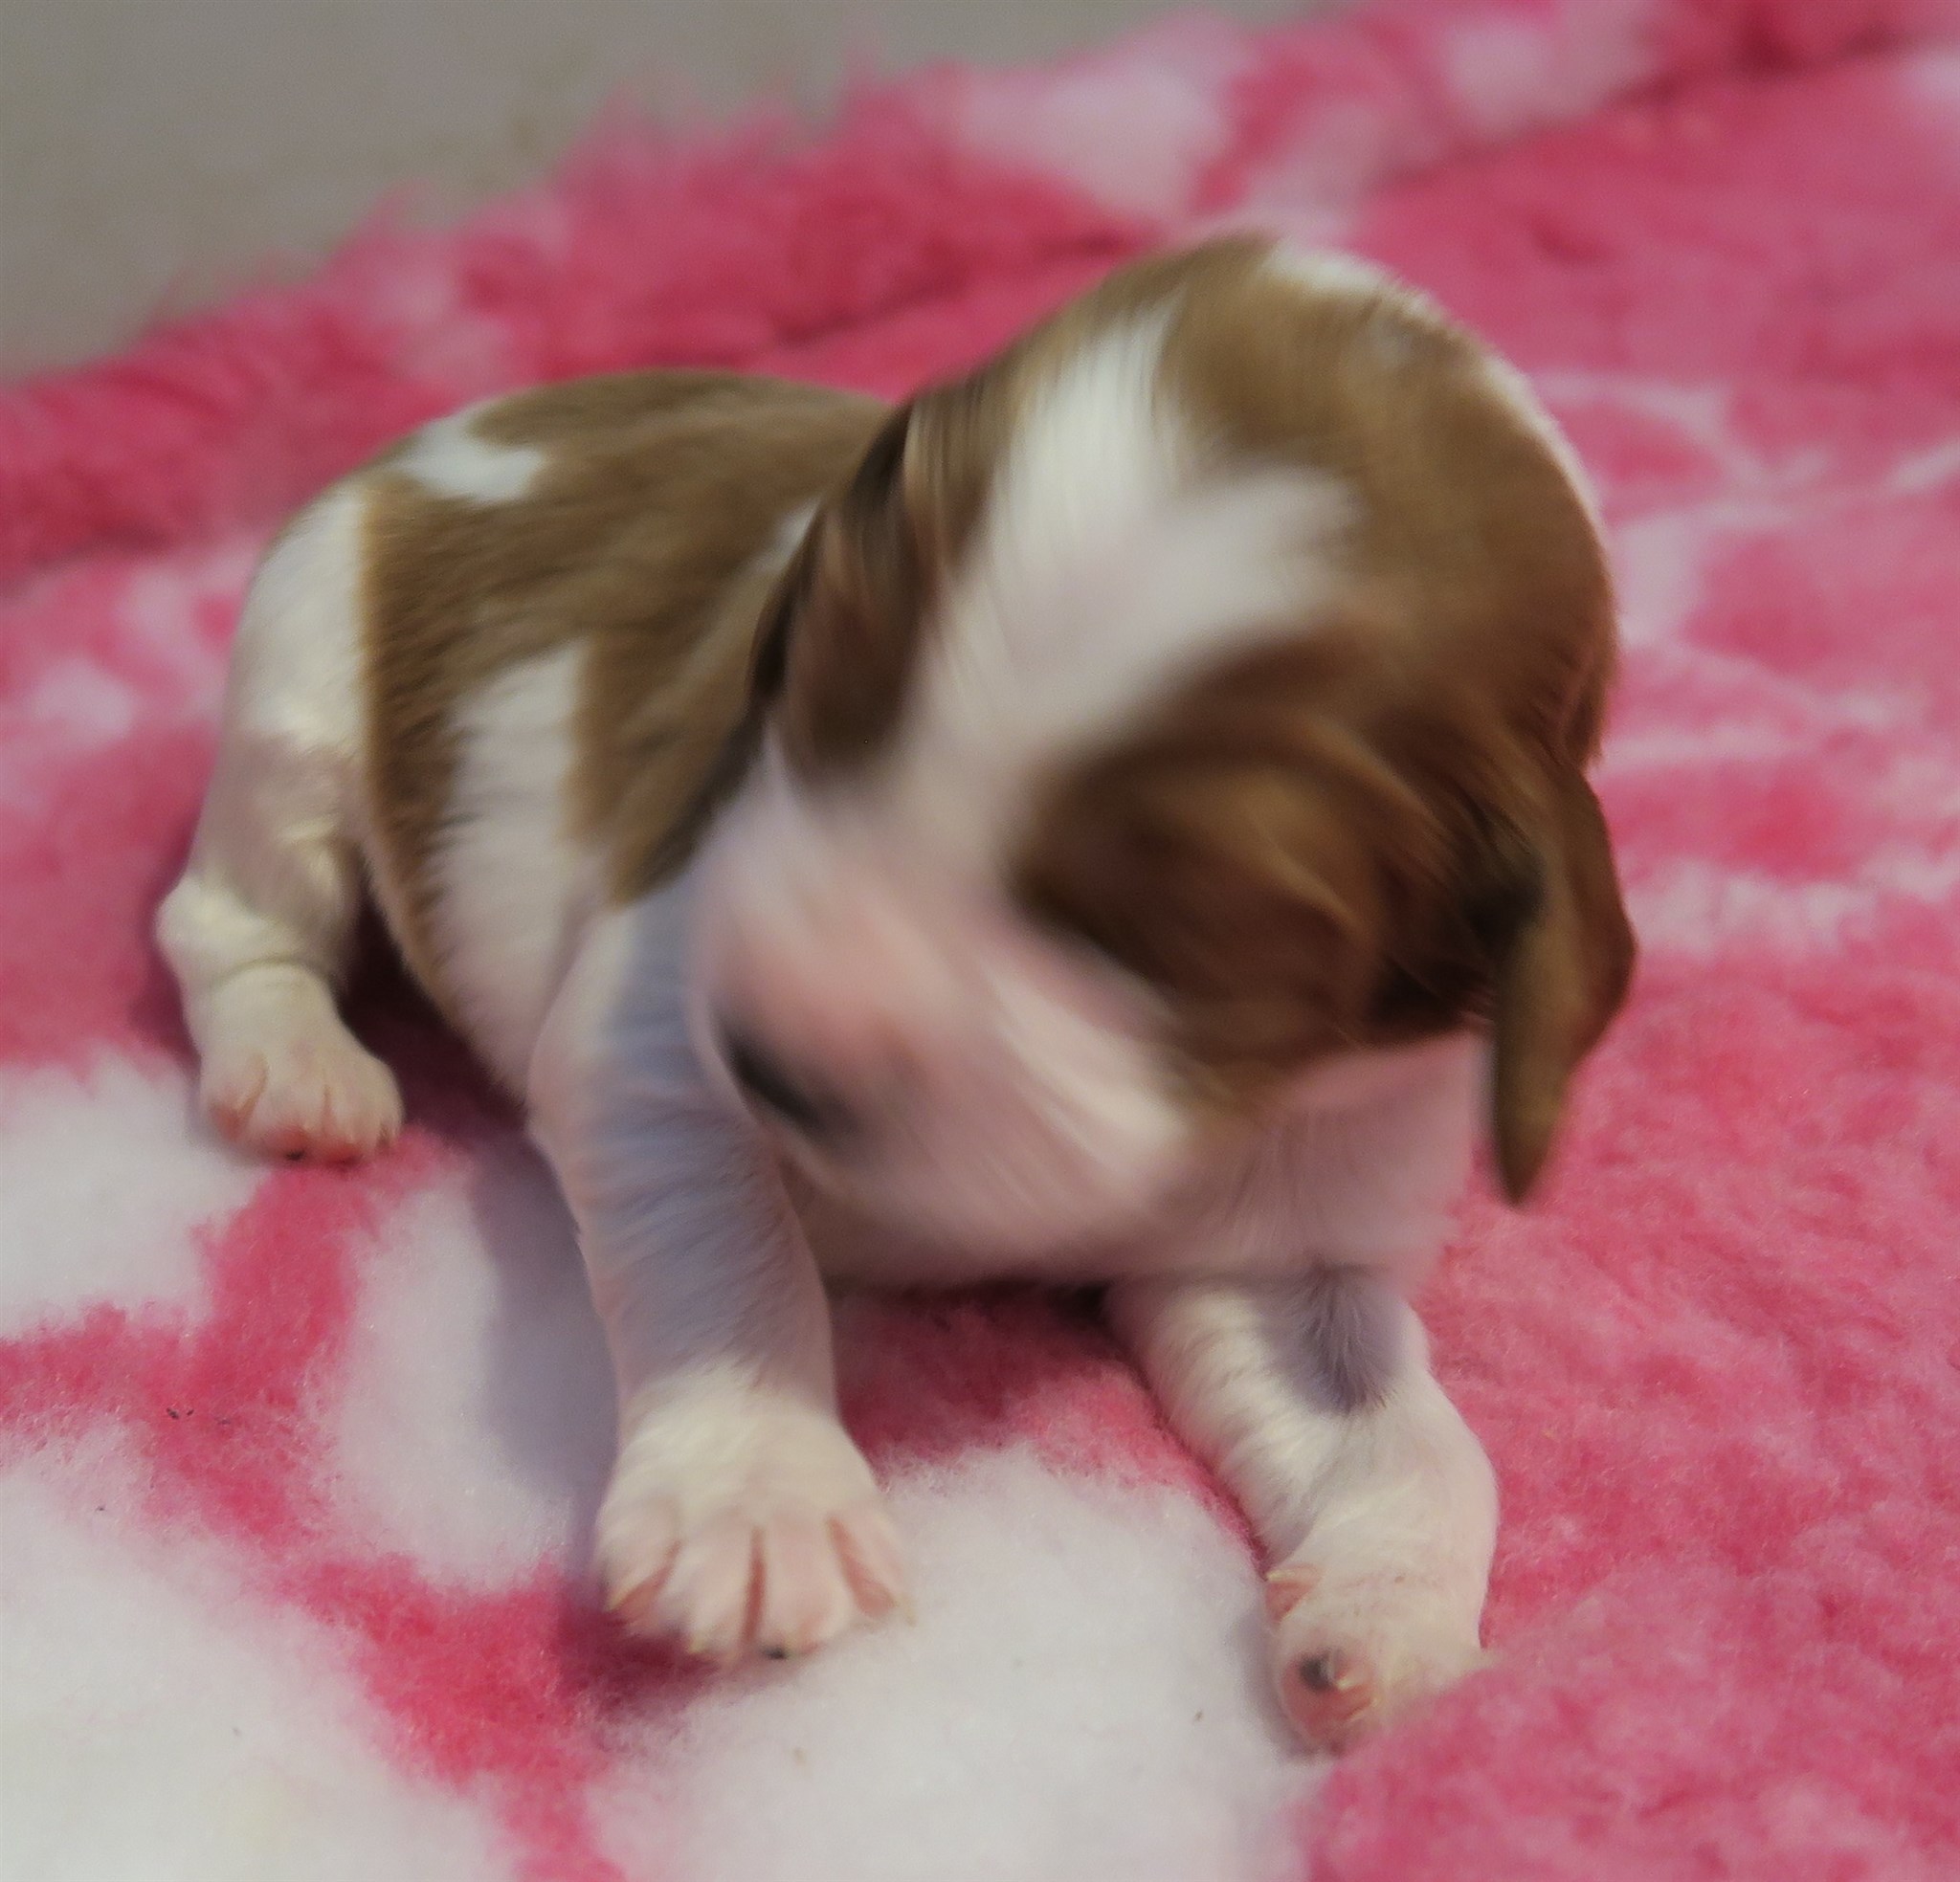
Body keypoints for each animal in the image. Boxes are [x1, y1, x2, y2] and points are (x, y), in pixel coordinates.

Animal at [158, 236, 1633, 1752]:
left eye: (1179, 928)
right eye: (816, 694)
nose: (776, 1061)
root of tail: (449, 425)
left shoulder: (1294, 1229)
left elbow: (1406, 1430)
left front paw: (1388, 1617)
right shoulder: (656, 1002)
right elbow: (726, 1240)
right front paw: (756, 1494)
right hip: (299, 698)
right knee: (231, 914)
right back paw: (299, 1065)